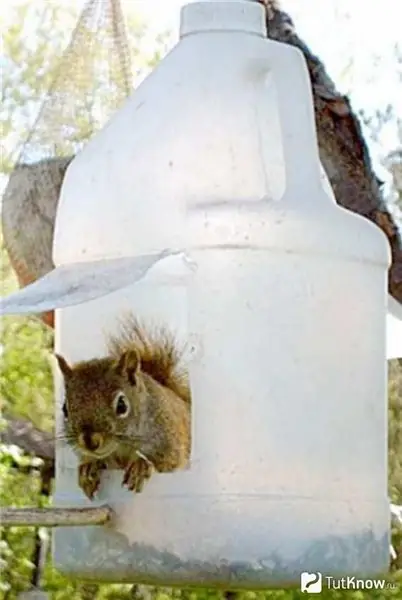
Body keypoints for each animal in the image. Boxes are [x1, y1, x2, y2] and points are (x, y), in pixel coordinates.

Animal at [55, 314, 192, 502]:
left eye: (122, 405)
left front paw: (140, 466)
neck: (121, 447)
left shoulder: (169, 442)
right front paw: (89, 466)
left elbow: (168, 464)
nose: (90, 441)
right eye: (65, 409)